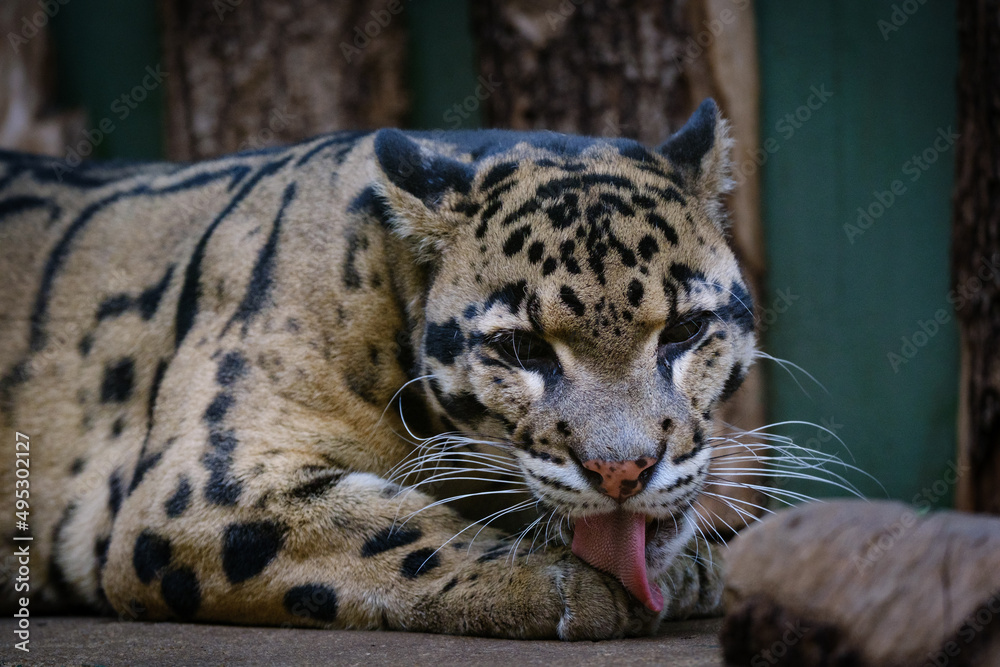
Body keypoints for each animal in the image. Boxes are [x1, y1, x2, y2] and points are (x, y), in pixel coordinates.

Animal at [0, 98, 756, 640]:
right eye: (523, 348)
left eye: (684, 330)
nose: (623, 471)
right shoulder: (196, 489)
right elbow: (387, 525)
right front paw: (564, 584)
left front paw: (691, 565)